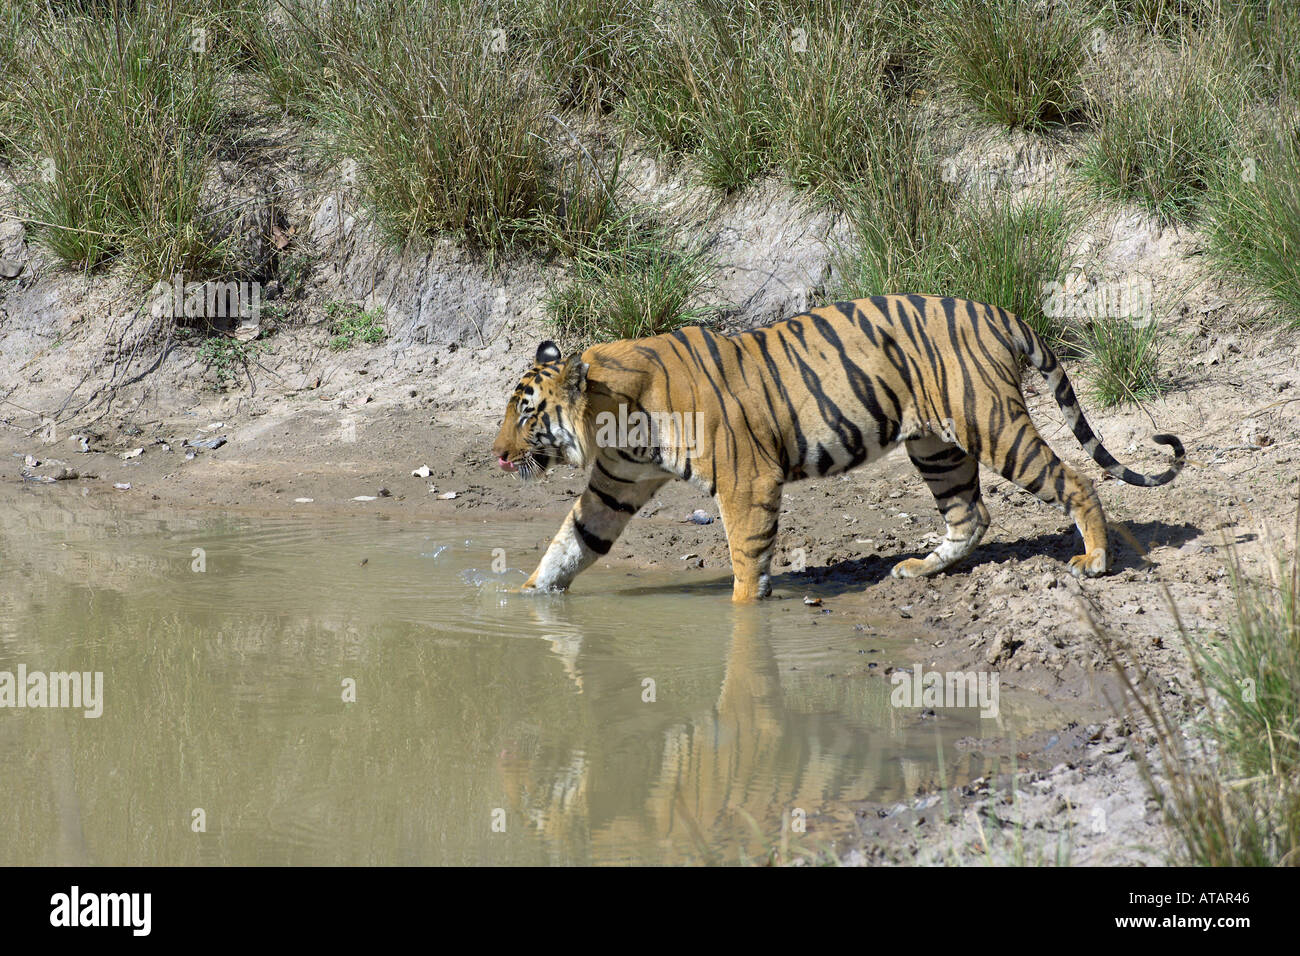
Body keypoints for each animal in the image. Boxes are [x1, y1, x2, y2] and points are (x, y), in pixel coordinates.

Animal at [491, 295, 1185, 600]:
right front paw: (525, 598)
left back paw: (1095, 560)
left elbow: (746, 562)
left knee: (1075, 479)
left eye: (526, 414)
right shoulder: (615, 484)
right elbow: (569, 545)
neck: (616, 417)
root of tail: (996, 310)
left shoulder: (747, 483)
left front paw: (744, 615)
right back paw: (921, 568)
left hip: (991, 423)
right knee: (972, 514)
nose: (497, 455)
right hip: (936, 446)